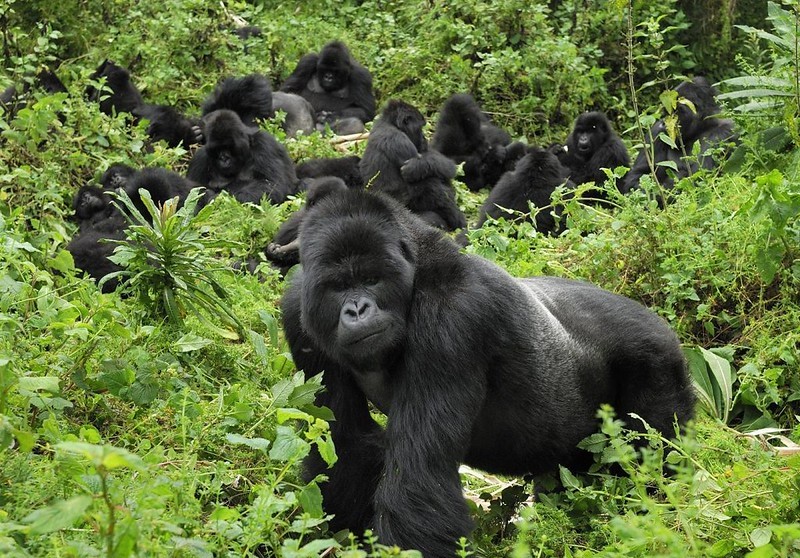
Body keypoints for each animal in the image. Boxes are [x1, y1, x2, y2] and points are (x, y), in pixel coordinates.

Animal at [282, 189, 692, 558]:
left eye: (371, 279)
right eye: (338, 286)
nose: (357, 310)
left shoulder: (452, 316)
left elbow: (418, 479)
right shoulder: (299, 311)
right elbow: (345, 446)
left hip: (658, 361)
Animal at [360, 100, 466, 232]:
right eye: (420, 128)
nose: (424, 139)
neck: (389, 123)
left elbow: (442, 163)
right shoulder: (398, 140)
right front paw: (418, 166)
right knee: (434, 186)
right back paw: (458, 221)